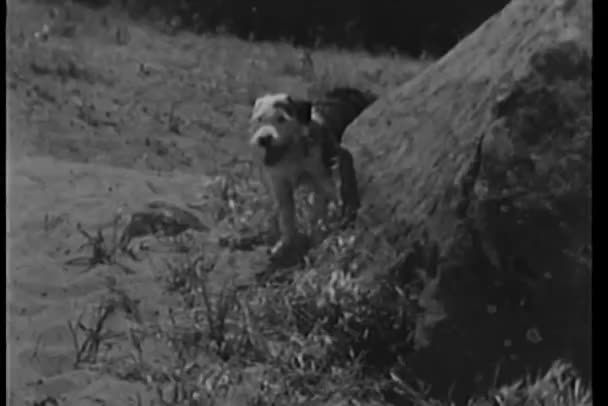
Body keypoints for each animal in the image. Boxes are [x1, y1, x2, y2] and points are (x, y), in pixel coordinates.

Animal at [247, 86, 376, 264]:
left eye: (281, 119)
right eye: (259, 119)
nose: (264, 139)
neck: (292, 154)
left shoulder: (323, 175)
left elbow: (320, 206)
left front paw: (319, 235)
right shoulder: (281, 186)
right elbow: (286, 217)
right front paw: (284, 245)